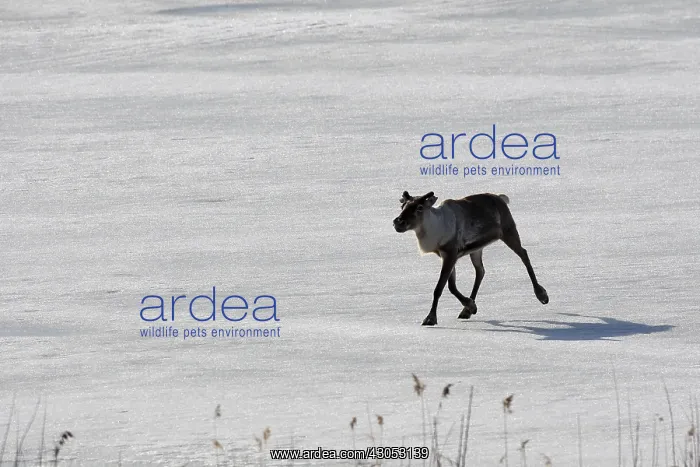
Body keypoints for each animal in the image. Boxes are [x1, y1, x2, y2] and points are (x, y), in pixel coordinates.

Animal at [392, 191, 549, 326]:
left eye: (419, 207)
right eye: (402, 206)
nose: (398, 222)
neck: (434, 230)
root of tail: (501, 198)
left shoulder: (450, 254)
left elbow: (439, 288)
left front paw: (430, 318)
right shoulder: (448, 256)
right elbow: (451, 287)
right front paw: (471, 305)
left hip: (508, 231)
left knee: (524, 254)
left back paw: (542, 295)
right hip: (477, 249)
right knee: (480, 271)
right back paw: (466, 311)